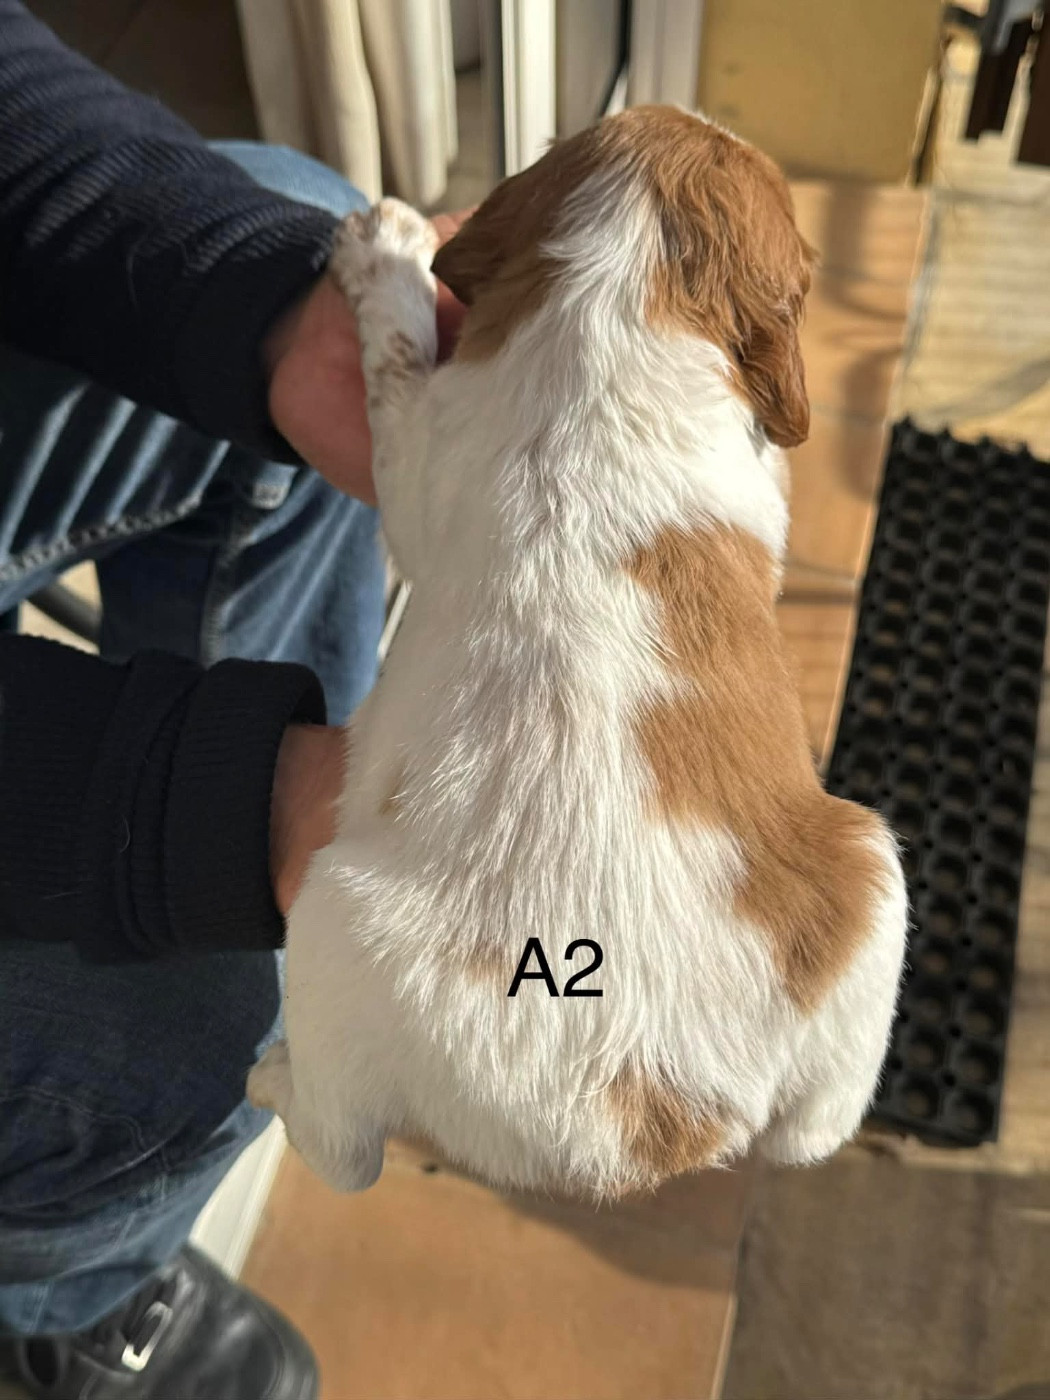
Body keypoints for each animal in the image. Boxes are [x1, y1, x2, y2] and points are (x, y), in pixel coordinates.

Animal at [248, 106, 907, 1199]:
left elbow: (394, 358)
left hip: (332, 926)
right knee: (812, 1133)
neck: (625, 304)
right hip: (873, 877)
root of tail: (642, 1105)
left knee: (342, 1150)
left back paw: (272, 1076)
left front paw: (387, 245)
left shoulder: (419, 450)